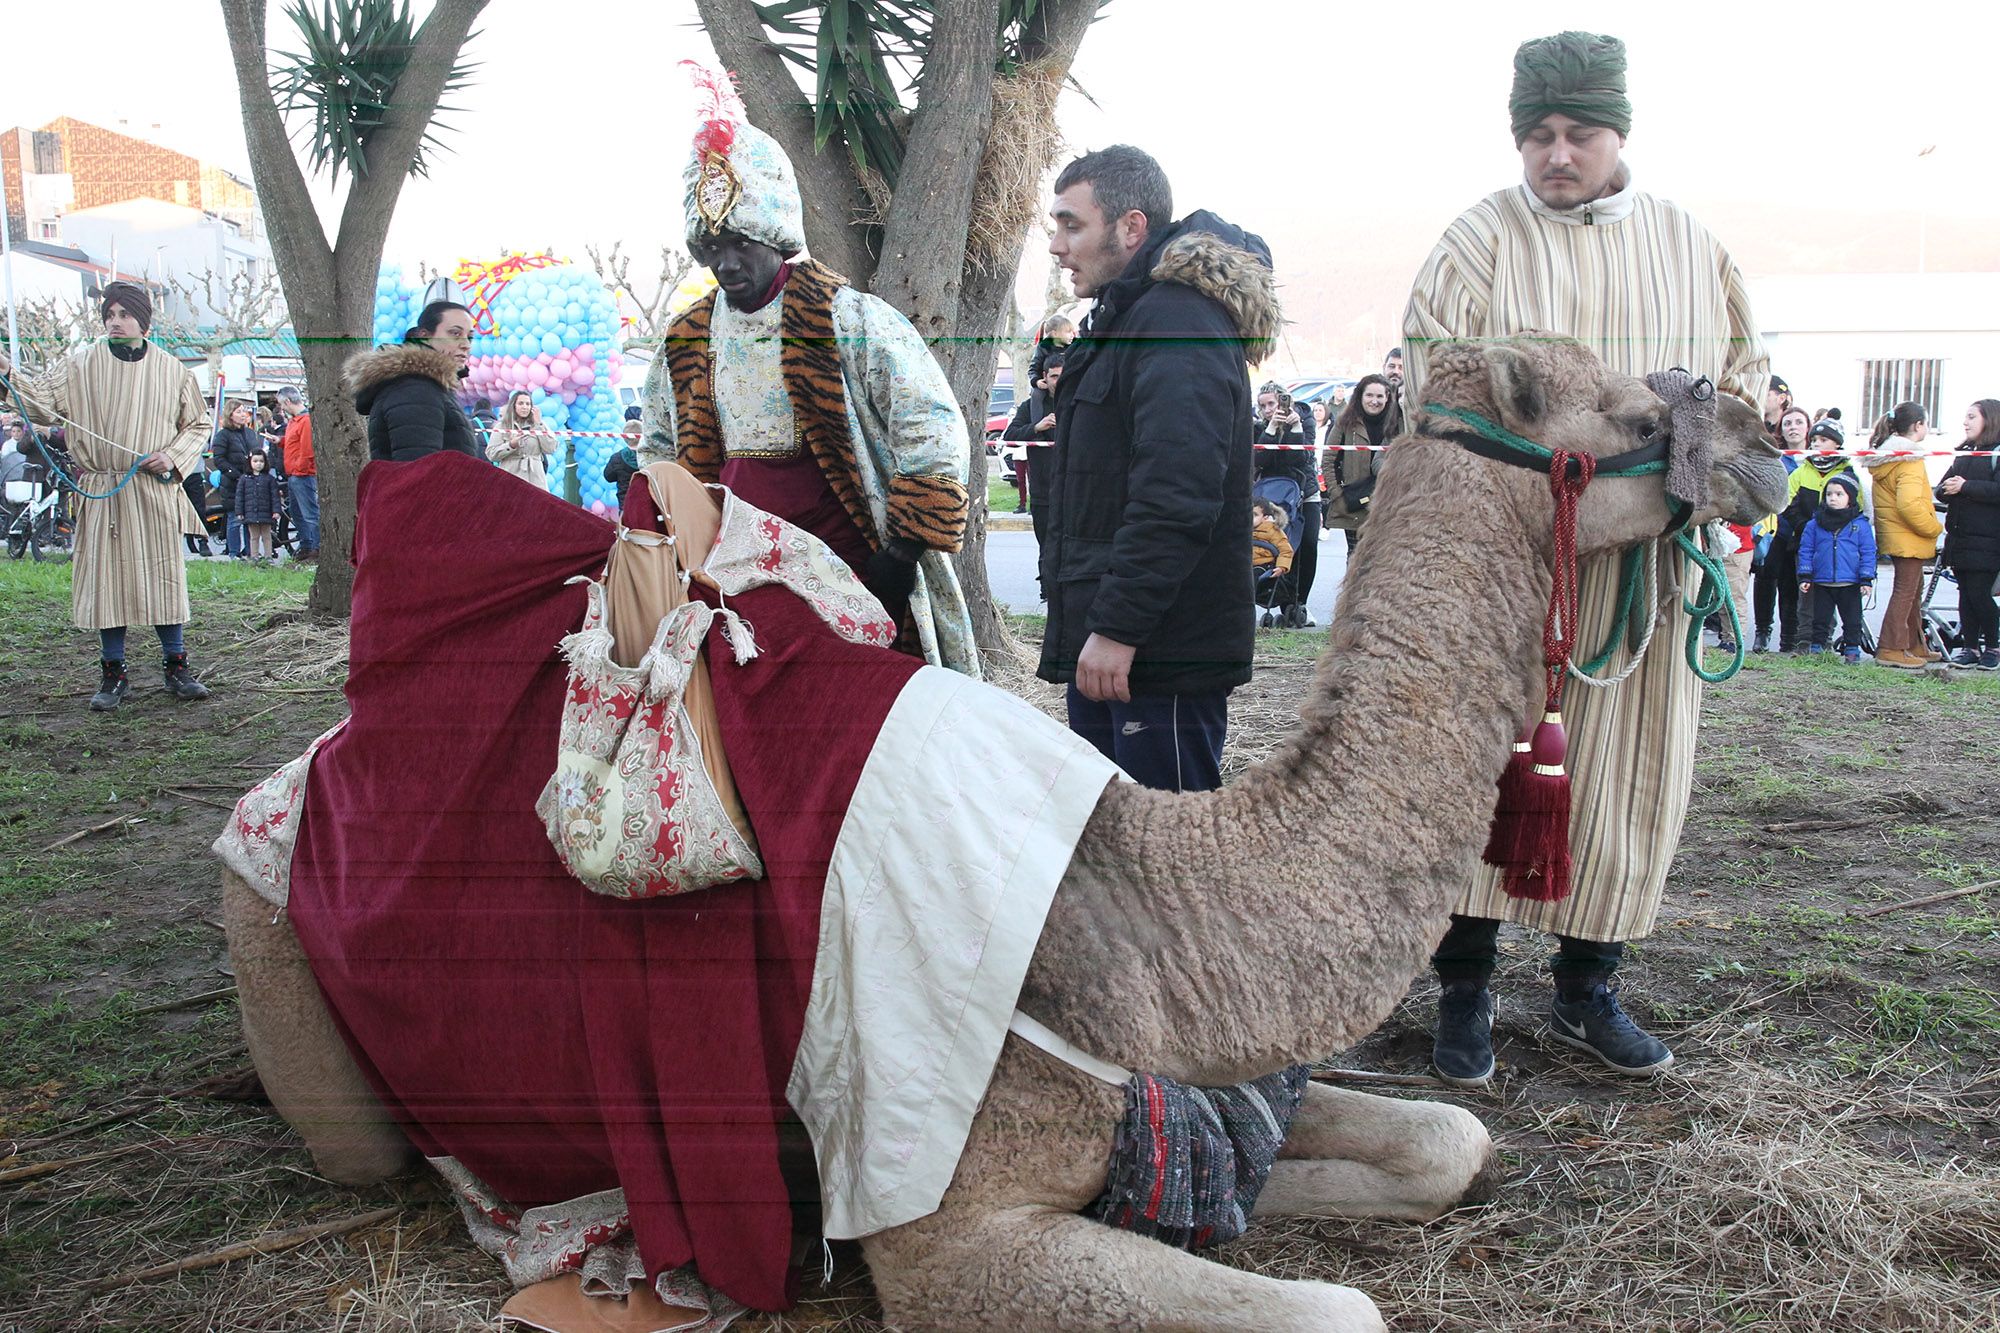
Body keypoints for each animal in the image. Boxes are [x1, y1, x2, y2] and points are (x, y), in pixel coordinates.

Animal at [215, 338, 1784, 1320]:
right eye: (1624, 407)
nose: (1772, 443)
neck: (1151, 907)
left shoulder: (1190, 1088)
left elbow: (1447, 1140)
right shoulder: (944, 1229)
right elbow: (1331, 1312)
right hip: (290, 985)